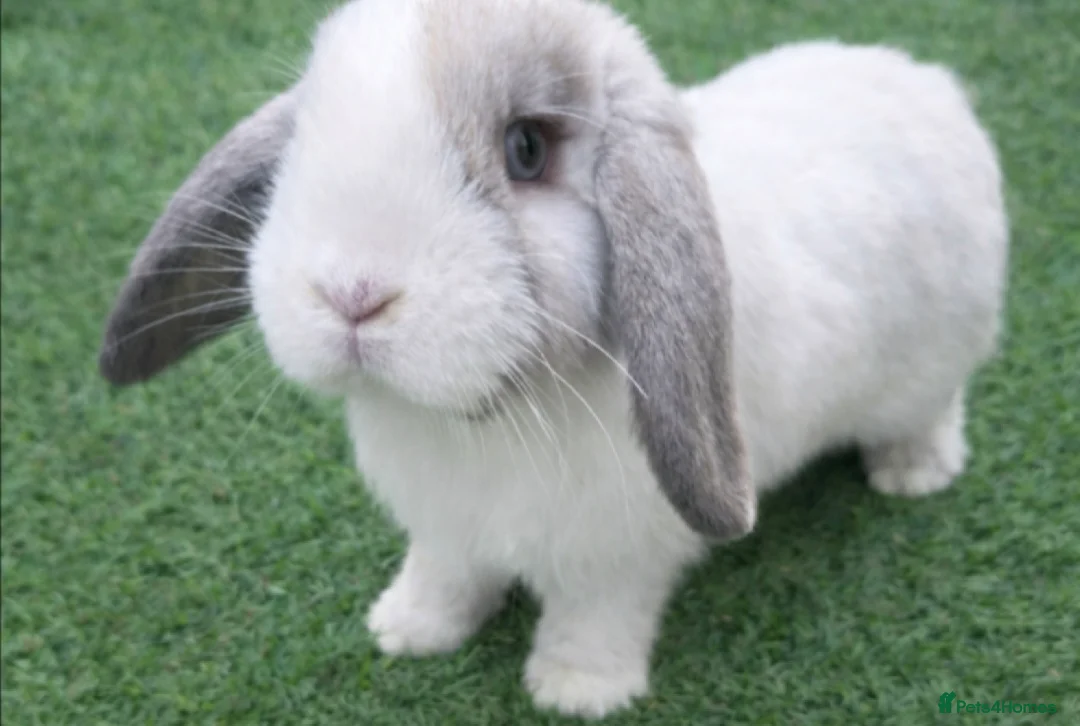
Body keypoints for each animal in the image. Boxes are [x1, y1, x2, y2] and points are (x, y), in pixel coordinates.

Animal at [99, 0, 1009, 718]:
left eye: (527, 150)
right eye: (303, 142)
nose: (352, 292)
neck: (487, 418)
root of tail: (933, 87)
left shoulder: (617, 558)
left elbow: (594, 620)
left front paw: (575, 692)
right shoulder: (446, 532)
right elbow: (445, 578)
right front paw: (406, 631)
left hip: (931, 364)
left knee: (936, 410)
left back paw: (912, 474)